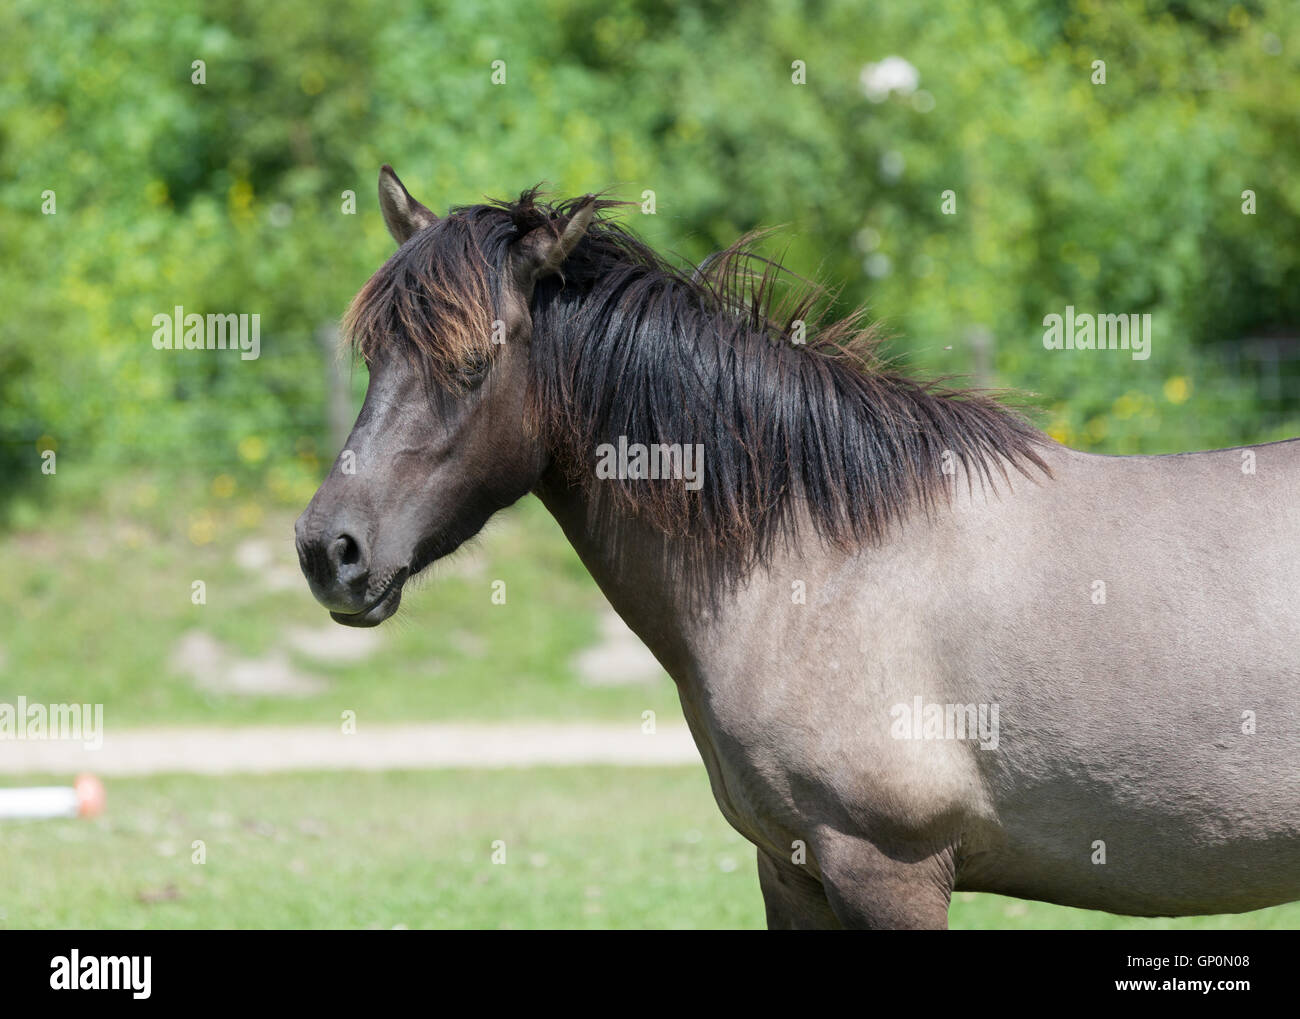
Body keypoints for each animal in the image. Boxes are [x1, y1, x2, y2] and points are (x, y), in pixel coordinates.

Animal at [295, 165, 1300, 929]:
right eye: (375, 354)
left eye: (471, 362)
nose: (326, 549)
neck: (818, 561)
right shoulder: (793, 870)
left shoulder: (886, 870)